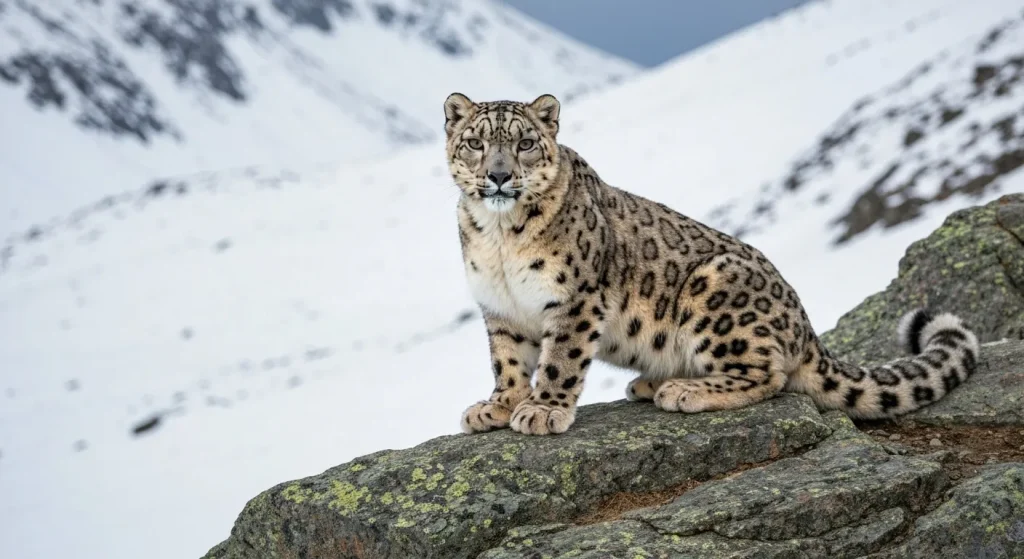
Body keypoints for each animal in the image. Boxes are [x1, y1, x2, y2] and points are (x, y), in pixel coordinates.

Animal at [444, 92, 980, 436]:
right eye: (475, 143)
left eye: (525, 143)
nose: (498, 175)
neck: (499, 237)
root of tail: (804, 327)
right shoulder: (500, 308)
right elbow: (508, 361)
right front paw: (498, 406)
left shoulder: (575, 299)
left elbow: (560, 360)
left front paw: (543, 411)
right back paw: (652, 381)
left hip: (716, 292)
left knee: (770, 375)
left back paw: (683, 390)